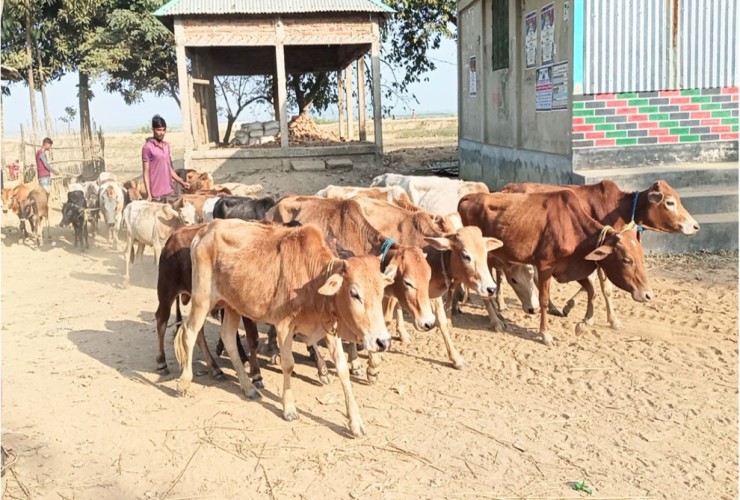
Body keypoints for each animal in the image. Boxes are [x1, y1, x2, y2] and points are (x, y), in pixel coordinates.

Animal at [176, 221, 396, 436]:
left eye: (381, 292)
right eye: (354, 294)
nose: (382, 341)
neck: (311, 280)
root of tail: (205, 229)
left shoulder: (329, 329)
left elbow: (342, 370)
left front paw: (356, 422)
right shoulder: (284, 326)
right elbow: (288, 365)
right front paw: (289, 408)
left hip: (232, 305)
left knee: (228, 338)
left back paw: (248, 388)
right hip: (202, 298)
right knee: (189, 332)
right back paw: (184, 382)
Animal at [456, 191, 652, 348]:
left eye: (641, 257)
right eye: (627, 260)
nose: (648, 294)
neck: (573, 227)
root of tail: (468, 197)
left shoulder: (569, 268)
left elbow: (592, 291)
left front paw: (583, 323)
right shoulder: (545, 266)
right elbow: (543, 299)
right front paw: (546, 335)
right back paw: (496, 321)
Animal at [498, 180, 700, 328]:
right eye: (670, 202)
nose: (695, 226)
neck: (620, 208)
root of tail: (507, 189)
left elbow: (591, 282)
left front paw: (571, 307)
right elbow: (606, 288)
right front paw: (613, 320)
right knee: (501, 273)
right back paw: (501, 304)